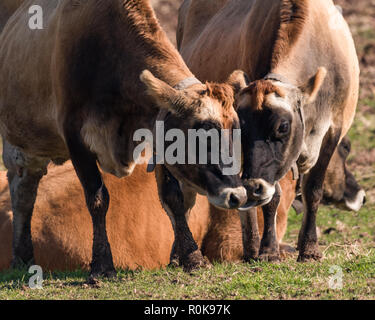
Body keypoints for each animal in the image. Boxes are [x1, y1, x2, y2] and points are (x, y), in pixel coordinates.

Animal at [1, 0, 251, 278]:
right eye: (202, 133)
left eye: (235, 133)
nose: (238, 196)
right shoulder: (75, 138)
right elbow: (97, 199)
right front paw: (102, 265)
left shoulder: (157, 137)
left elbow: (173, 197)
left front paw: (191, 257)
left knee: (24, 190)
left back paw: (23, 257)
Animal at [178, 0, 360, 262]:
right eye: (242, 128)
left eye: (282, 126)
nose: (254, 186)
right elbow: (272, 197)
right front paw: (268, 250)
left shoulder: (334, 128)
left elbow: (313, 189)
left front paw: (309, 249)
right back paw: (252, 247)